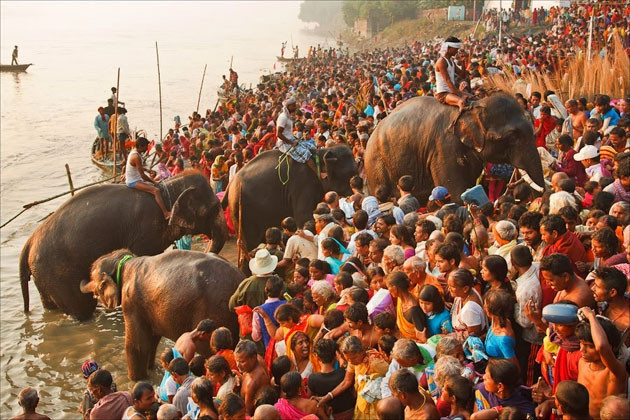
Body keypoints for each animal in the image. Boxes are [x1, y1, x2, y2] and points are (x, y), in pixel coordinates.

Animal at [19, 169, 230, 320]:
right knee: (81, 308)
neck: (170, 187)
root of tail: (28, 243)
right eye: (213, 208)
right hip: (58, 273)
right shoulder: (144, 233)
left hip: (43, 275)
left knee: (51, 306)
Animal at [80, 249, 243, 380]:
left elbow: (137, 346)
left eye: (94, 280)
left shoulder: (131, 303)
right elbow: (152, 341)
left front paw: (136, 381)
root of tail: (240, 279)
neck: (124, 262)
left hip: (215, 311)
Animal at [226, 145, 358, 249]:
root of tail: (230, 183)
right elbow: (303, 216)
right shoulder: (303, 185)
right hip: (242, 211)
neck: (319, 153)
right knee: (250, 244)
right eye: (350, 173)